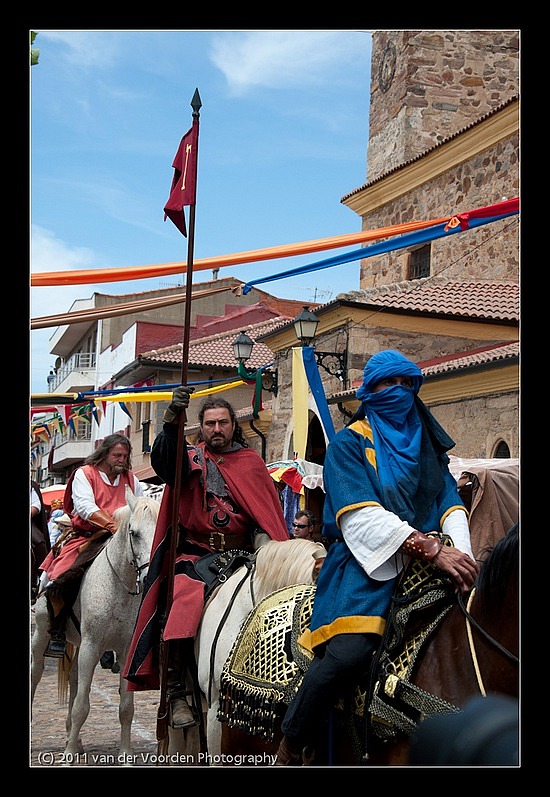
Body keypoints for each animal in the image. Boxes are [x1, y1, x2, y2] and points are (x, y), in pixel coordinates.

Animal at [30, 486, 160, 760]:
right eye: (134, 533)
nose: (148, 576)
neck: (118, 584)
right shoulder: (91, 646)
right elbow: (82, 704)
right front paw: (68, 754)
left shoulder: (125, 650)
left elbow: (126, 707)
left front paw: (125, 754)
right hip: (42, 636)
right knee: (36, 674)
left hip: (77, 644)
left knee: (73, 679)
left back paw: (74, 736)